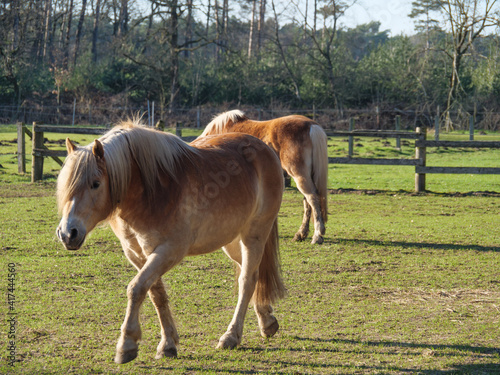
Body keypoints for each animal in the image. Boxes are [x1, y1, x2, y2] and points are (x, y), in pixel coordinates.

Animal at [54, 121, 286, 364]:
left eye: (95, 183)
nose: (68, 233)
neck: (151, 191)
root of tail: (264, 148)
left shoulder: (169, 251)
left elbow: (136, 288)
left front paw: (127, 344)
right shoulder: (138, 255)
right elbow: (156, 294)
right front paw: (168, 344)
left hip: (254, 235)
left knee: (247, 280)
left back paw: (231, 336)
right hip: (231, 241)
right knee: (253, 274)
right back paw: (267, 321)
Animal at [199, 110, 328, 245]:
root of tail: (311, 125)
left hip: (299, 174)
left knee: (312, 198)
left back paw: (317, 235)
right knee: (307, 201)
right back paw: (301, 234)